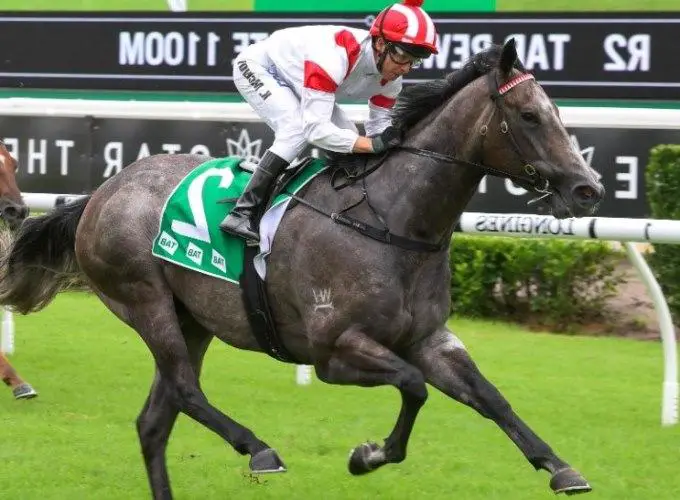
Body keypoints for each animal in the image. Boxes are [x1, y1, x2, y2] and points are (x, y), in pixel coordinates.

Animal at [0, 40, 603, 497]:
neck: (393, 221)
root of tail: (102, 192)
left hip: (191, 319)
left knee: (156, 418)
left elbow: (490, 396)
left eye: (558, 114)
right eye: (529, 116)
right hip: (145, 302)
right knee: (185, 390)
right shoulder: (335, 351)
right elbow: (413, 386)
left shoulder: (429, 339)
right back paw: (260, 449)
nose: (588, 189)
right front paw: (368, 455)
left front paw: (560, 468)